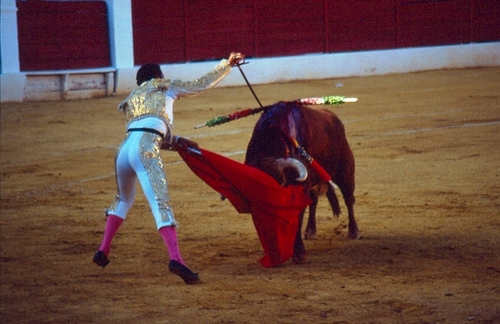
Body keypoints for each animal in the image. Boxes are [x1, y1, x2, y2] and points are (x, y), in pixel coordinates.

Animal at [243, 101, 358, 264]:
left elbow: (297, 218)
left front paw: (299, 254)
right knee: (314, 202)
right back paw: (310, 230)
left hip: (345, 173)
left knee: (349, 200)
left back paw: (353, 231)